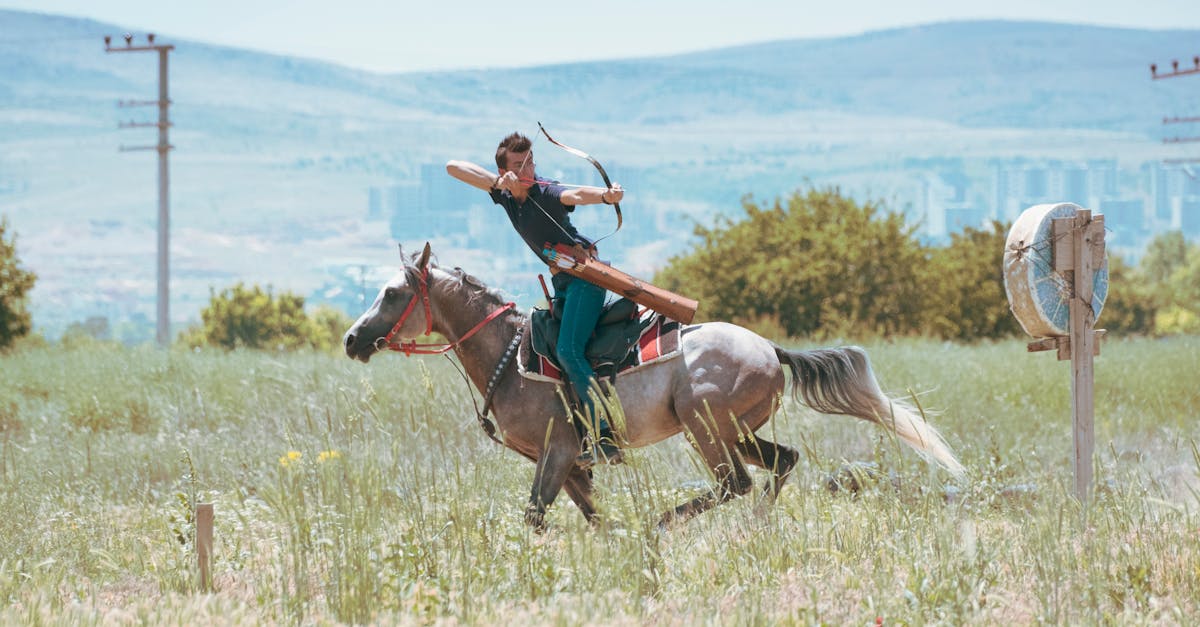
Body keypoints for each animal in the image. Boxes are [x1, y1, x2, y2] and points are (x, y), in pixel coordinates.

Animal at [343, 242, 960, 526]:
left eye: (393, 293)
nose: (352, 339)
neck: (510, 358)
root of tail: (769, 348)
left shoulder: (558, 452)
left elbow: (536, 514)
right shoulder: (569, 463)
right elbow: (590, 516)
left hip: (704, 426)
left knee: (734, 483)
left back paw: (662, 523)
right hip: (735, 431)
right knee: (781, 461)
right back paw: (757, 526)